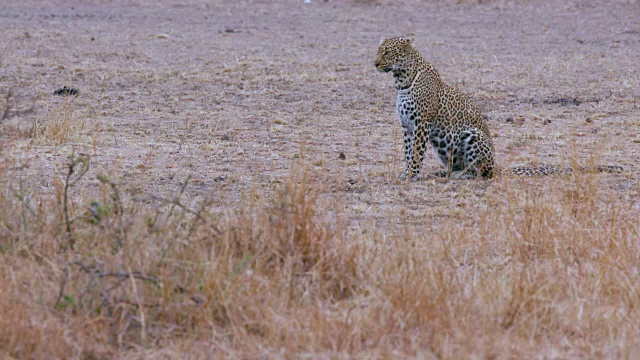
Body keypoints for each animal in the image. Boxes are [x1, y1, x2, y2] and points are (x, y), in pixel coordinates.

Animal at [372, 37, 624, 180]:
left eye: (387, 52)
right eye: (379, 50)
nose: (374, 63)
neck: (401, 79)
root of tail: (498, 165)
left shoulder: (421, 123)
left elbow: (416, 153)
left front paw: (412, 175)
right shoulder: (407, 126)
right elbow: (408, 152)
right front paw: (406, 172)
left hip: (471, 134)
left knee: (482, 172)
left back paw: (460, 176)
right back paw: (445, 172)